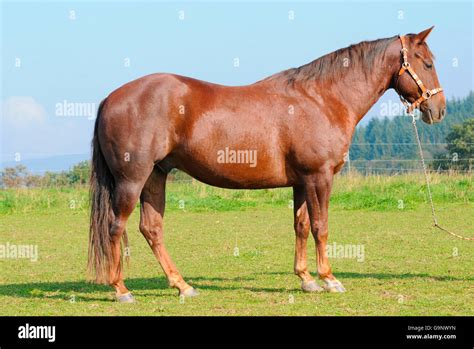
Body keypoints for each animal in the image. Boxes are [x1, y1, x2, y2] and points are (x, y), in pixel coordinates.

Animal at [88, 27, 444, 302]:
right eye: (426, 63)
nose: (438, 109)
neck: (322, 99)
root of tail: (111, 98)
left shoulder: (301, 182)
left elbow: (301, 227)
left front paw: (307, 280)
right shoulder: (319, 177)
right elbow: (321, 227)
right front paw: (329, 279)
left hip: (155, 177)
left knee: (152, 229)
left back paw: (182, 286)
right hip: (132, 180)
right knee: (115, 227)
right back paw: (121, 290)